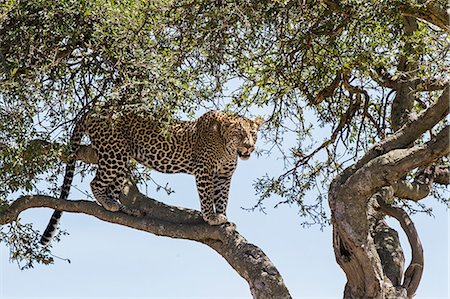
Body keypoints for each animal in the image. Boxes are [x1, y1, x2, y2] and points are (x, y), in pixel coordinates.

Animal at [40, 108, 264, 246]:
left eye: (253, 134)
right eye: (239, 133)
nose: (249, 146)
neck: (227, 149)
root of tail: (97, 107)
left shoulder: (224, 176)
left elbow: (222, 197)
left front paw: (224, 218)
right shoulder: (205, 171)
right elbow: (208, 198)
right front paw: (211, 218)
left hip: (122, 157)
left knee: (112, 186)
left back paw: (122, 207)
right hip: (114, 153)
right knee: (95, 182)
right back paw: (109, 204)